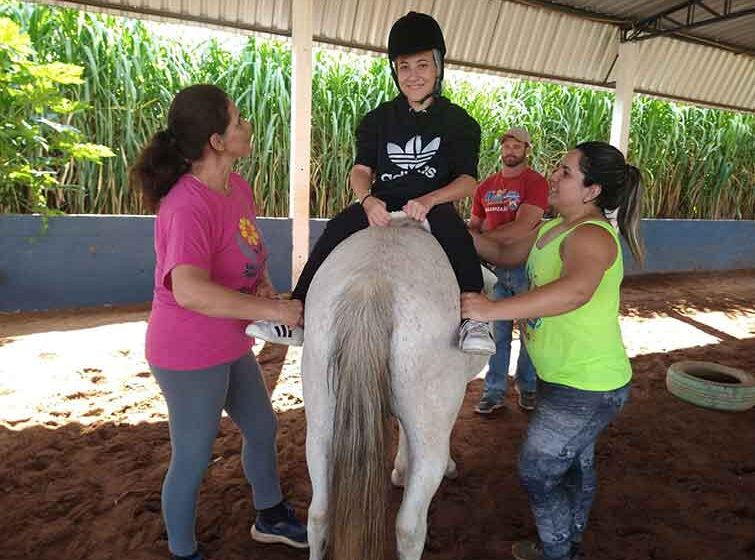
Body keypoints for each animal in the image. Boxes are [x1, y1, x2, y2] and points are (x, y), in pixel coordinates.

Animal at [302, 214, 490, 560]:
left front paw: (400, 469)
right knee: (409, 528)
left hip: (321, 423)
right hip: (430, 434)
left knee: (318, 514)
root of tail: (372, 283)